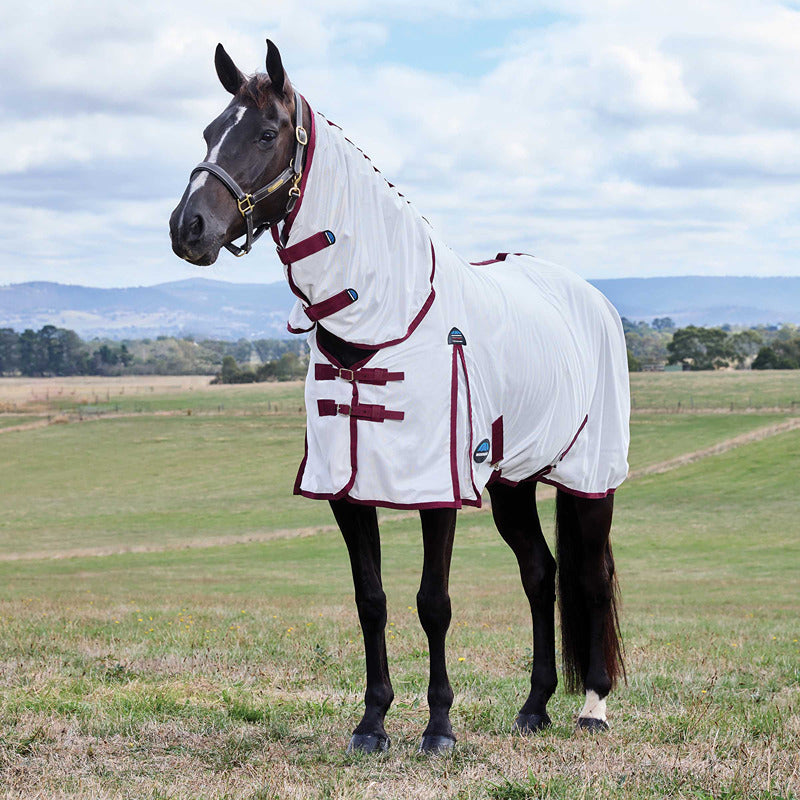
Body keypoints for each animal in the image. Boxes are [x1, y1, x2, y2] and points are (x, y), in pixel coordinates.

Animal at [170, 40, 629, 755]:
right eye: (210, 131)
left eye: (267, 133)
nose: (187, 227)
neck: (388, 317)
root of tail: (589, 296)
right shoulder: (347, 489)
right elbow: (372, 600)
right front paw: (373, 722)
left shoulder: (436, 488)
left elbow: (432, 603)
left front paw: (438, 727)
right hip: (513, 481)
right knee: (541, 574)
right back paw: (533, 707)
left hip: (588, 477)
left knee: (591, 577)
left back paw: (593, 706)